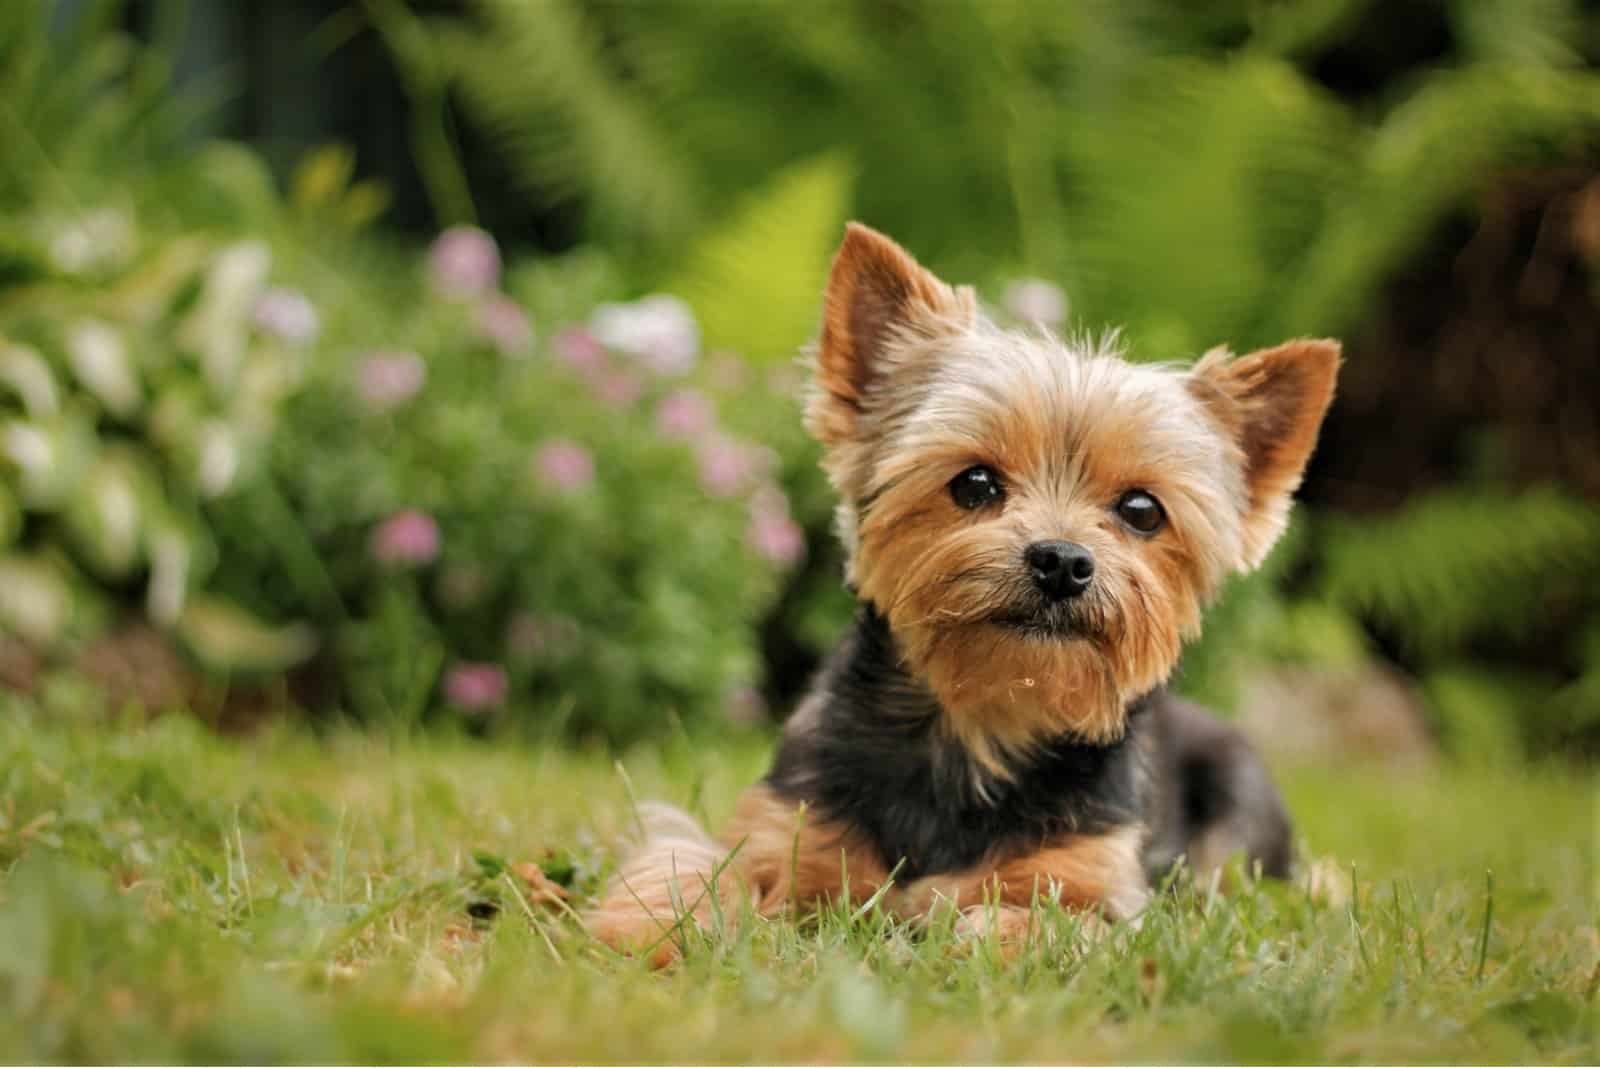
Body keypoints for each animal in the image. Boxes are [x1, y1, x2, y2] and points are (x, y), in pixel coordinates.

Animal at [585, 225, 1337, 959]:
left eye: (1142, 510)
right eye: (974, 483)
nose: (1062, 561)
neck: (981, 723)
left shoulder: (1099, 880)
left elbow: (1057, 919)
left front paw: (979, 927)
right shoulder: (786, 824)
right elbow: (694, 861)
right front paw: (654, 926)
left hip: (1237, 805)